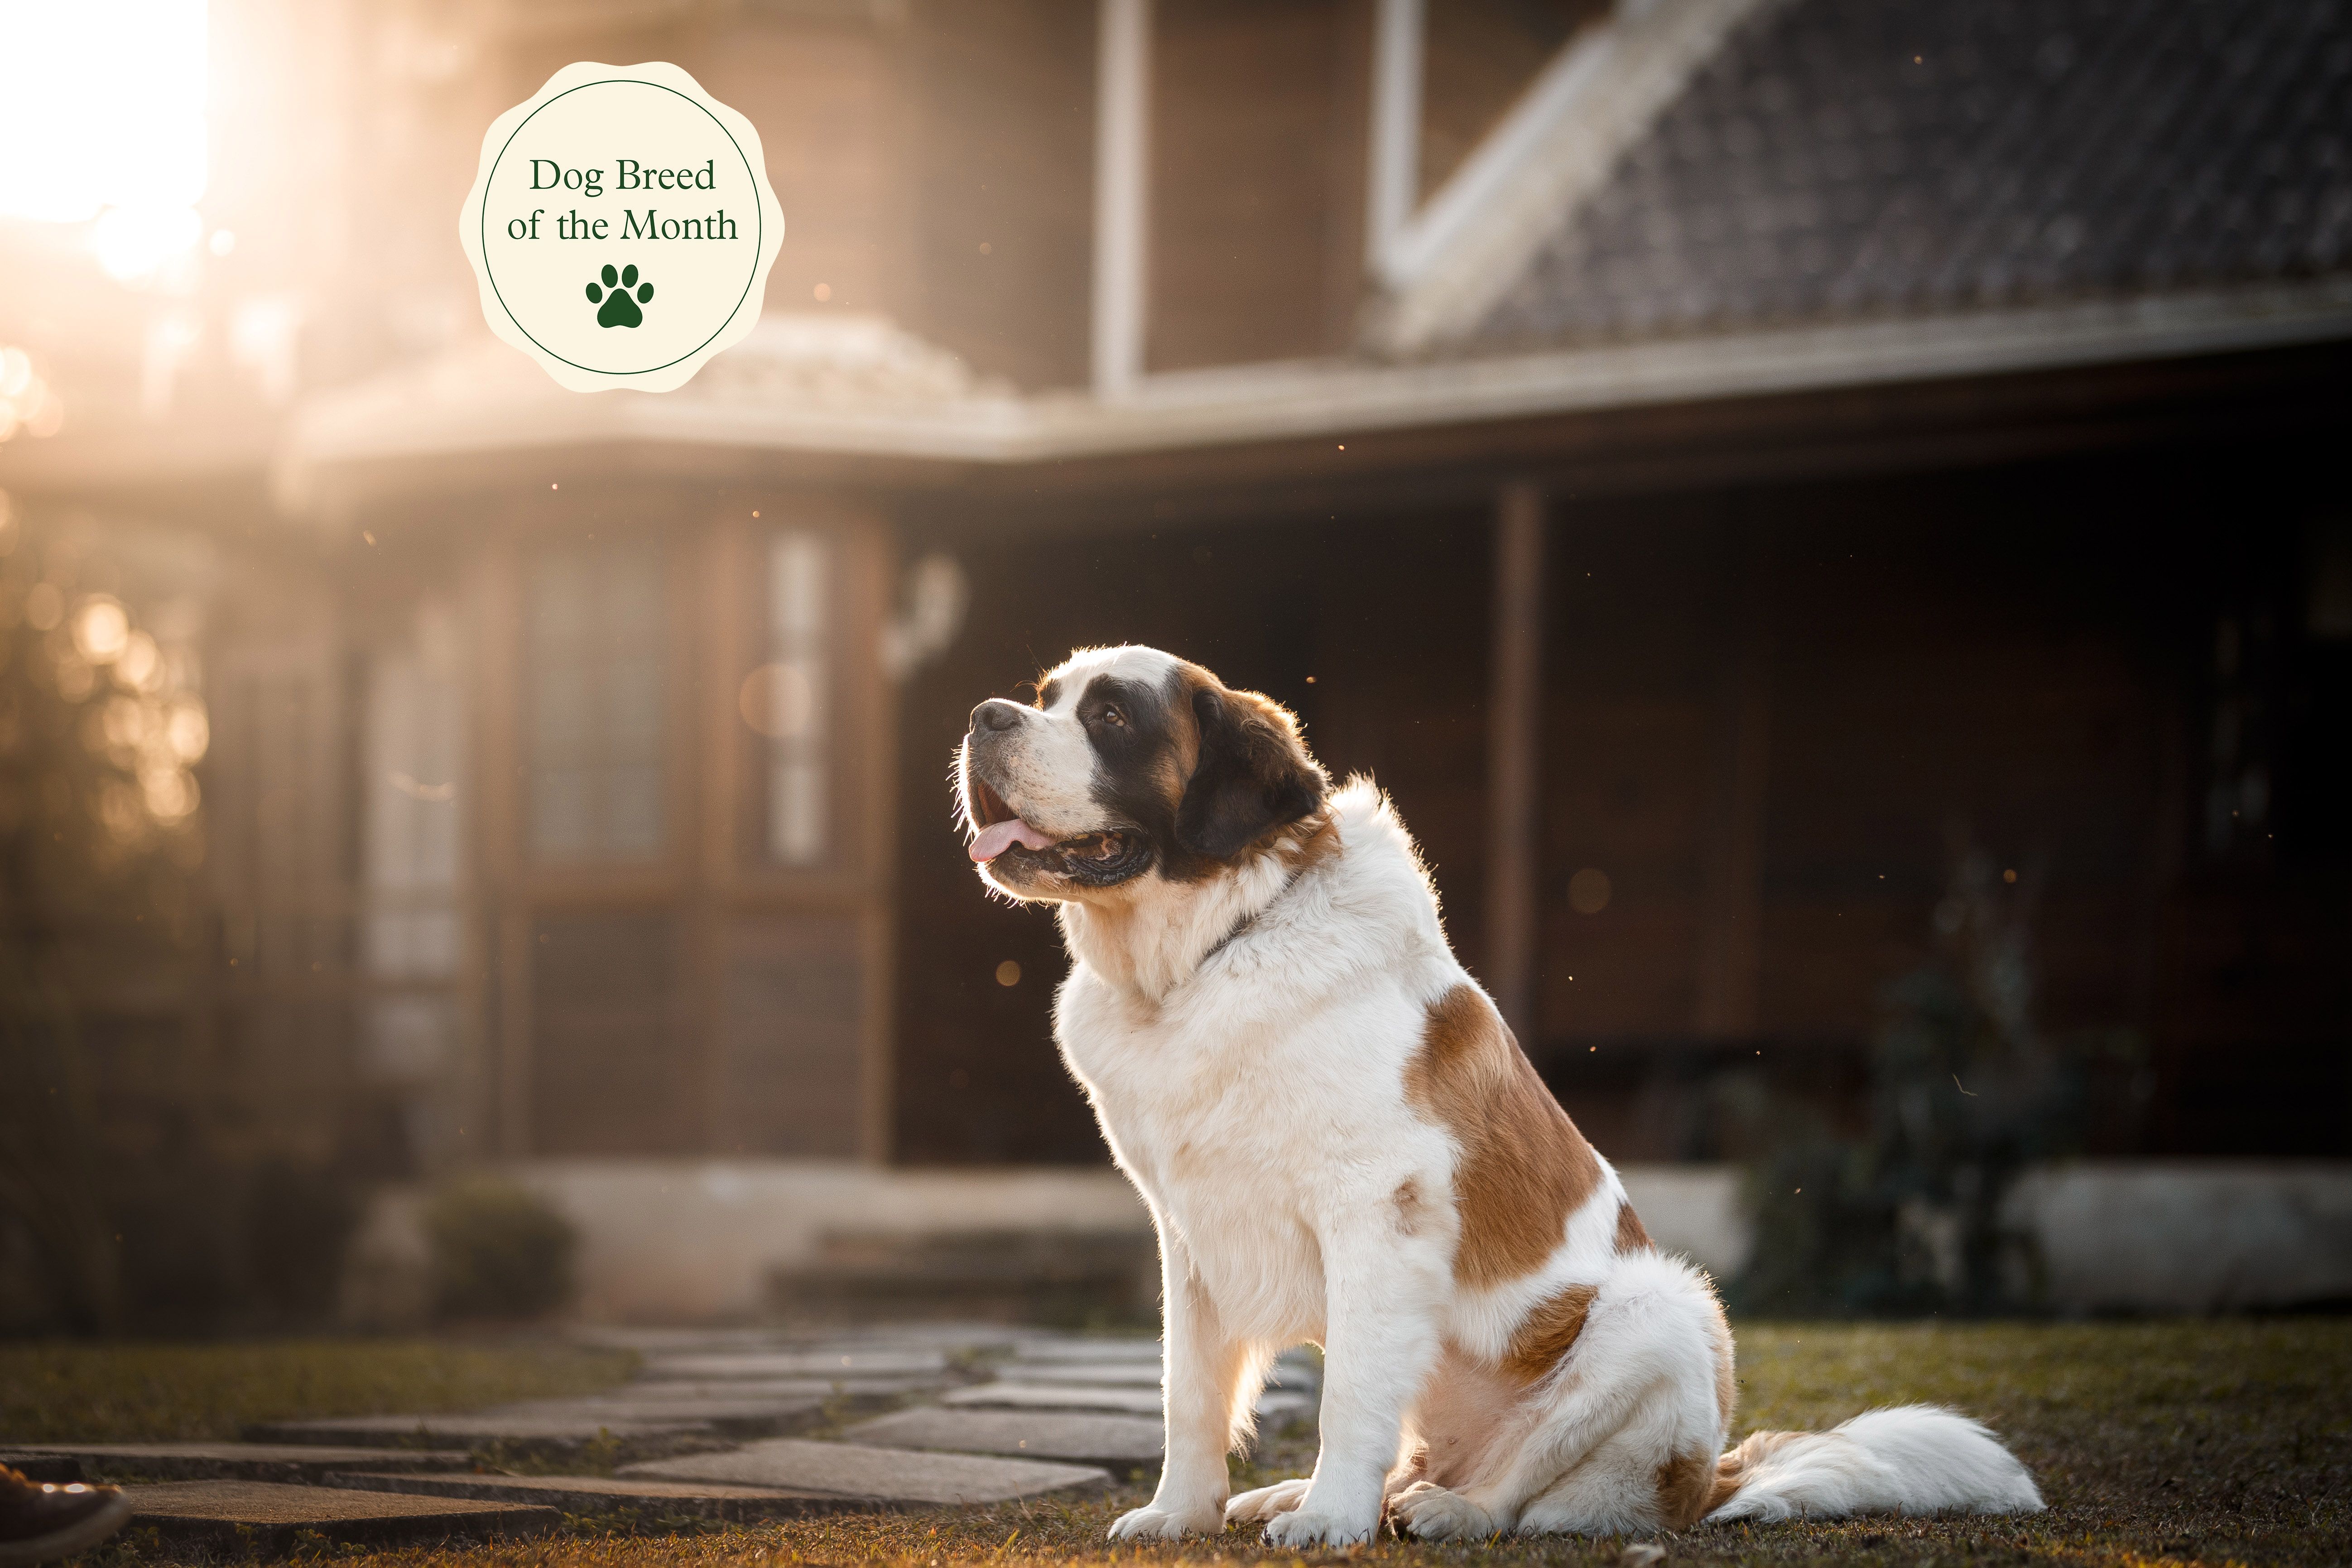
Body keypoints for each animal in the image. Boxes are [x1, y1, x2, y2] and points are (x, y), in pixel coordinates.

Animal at [955, 644, 2041, 1542]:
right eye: (1046, 698)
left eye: (1112, 718)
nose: (983, 715)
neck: (1211, 953)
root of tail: (1711, 1477)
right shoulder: (1187, 1233)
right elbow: (1187, 1389)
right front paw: (1180, 1514)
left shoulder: (1377, 1214)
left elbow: (1348, 1395)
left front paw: (1329, 1522)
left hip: (1659, 1310)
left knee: (1540, 1494)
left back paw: (1443, 1510)